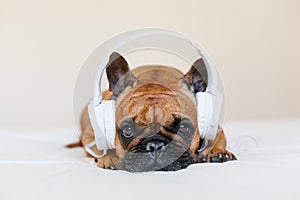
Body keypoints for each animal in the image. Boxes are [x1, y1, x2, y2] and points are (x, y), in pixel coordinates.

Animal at [68, 52, 237, 172]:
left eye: (183, 128)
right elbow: (100, 149)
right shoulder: (90, 137)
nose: (155, 145)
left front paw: (217, 152)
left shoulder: (215, 128)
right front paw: (109, 158)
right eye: (127, 130)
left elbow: (220, 138)